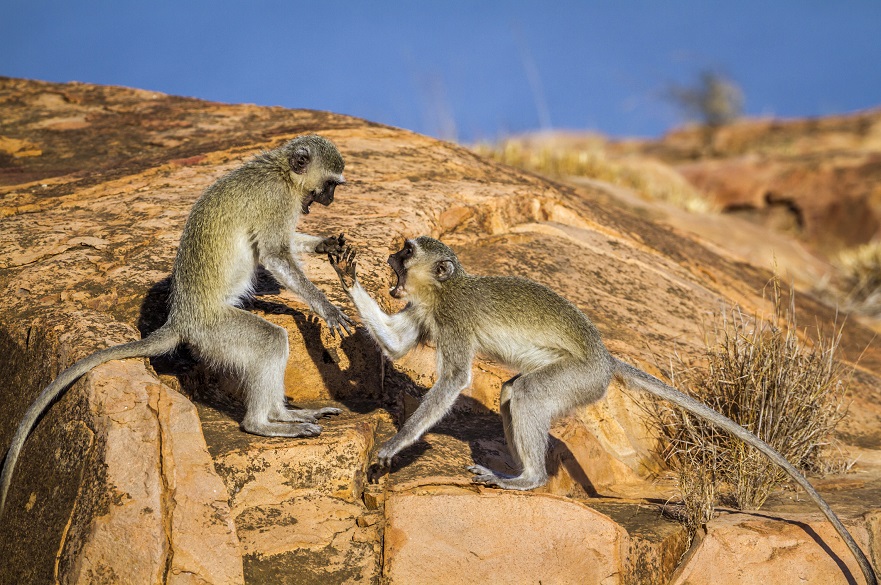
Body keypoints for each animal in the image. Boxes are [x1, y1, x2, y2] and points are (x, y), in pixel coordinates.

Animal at [3, 133, 354, 516]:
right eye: (329, 186)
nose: (330, 200)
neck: (281, 171)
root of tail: (180, 318)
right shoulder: (277, 201)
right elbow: (276, 255)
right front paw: (326, 307)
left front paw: (325, 244)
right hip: (214, 332)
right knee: (271, 341)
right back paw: (263, 424)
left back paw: (284, 415)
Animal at [328, 236, 872, 584]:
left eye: (407, 253)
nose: (391, 256)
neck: (443, 291)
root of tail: (605, 359)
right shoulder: (422, 312)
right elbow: (398, 346)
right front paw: (344, 271)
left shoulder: (453, 320)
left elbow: (453, 381)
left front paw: (393, 446)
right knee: (512, 392)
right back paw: (521, 470)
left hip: (581, 380)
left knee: (527, 394)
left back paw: (527, 480)